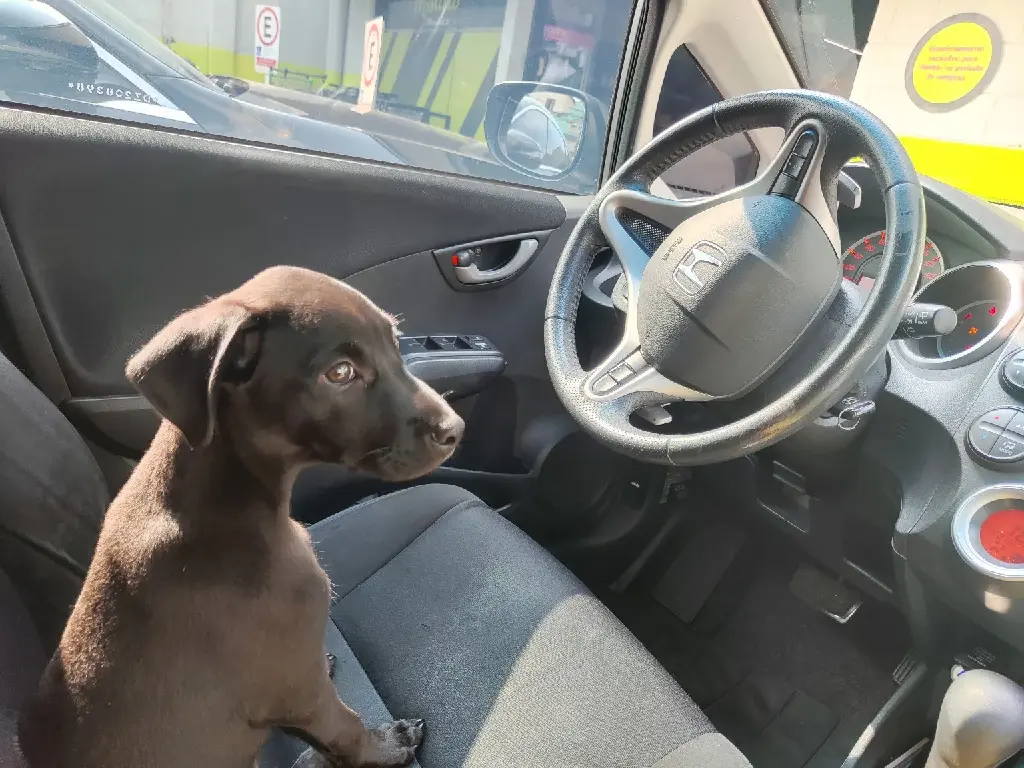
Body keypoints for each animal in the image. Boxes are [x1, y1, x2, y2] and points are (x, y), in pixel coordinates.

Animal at [18, 268, 464, 768]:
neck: (228, 504)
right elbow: (346, 730)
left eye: (396, 342)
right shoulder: (300, 690)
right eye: (340, 374)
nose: (455, 429)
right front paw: (388, 745)